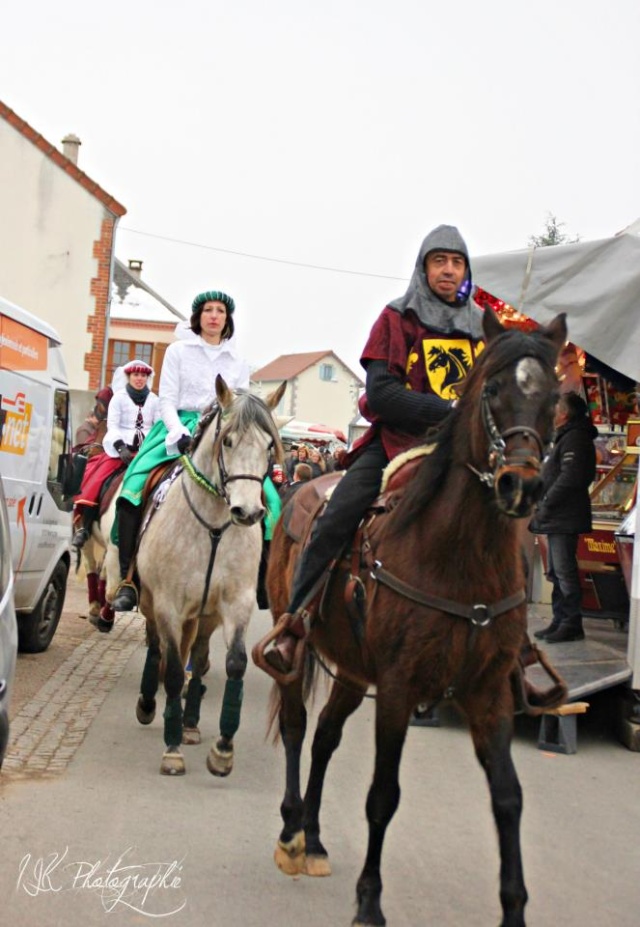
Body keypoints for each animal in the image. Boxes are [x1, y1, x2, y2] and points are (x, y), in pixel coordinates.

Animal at [255, 308, 564, 924]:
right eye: (492, 389)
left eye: (556, 398)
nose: (521, 485)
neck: (459, 556)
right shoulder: (398, 687)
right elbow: (383, 796)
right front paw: (369, 902)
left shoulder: (487, 691)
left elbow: (508, 798)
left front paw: (514, 908)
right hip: (296, 645)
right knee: (300, 727)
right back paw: (292, 833)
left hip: (352, 671)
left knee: (325, 737)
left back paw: (315, 839)